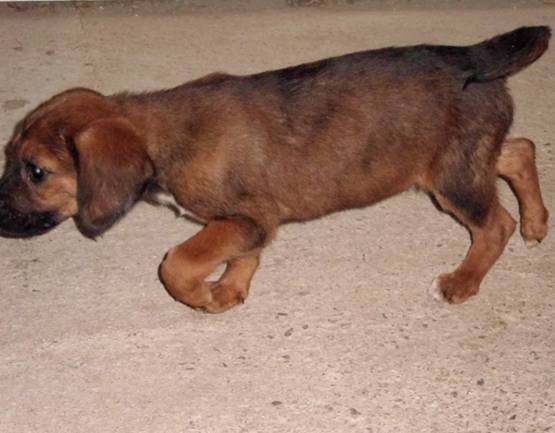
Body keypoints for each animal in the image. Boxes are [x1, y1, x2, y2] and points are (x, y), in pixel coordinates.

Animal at [0, 26, 548, 310]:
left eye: (36, 171)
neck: (159, 136)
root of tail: (471, 57)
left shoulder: (244, 217)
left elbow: (178, 262)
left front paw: (203, 297)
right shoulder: (250, 223)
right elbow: (242, 256)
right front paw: (229, 291)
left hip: (452, 177)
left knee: (494, 224)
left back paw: (463, 281)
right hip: (461, 159)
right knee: (520, 149)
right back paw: (537, 224)